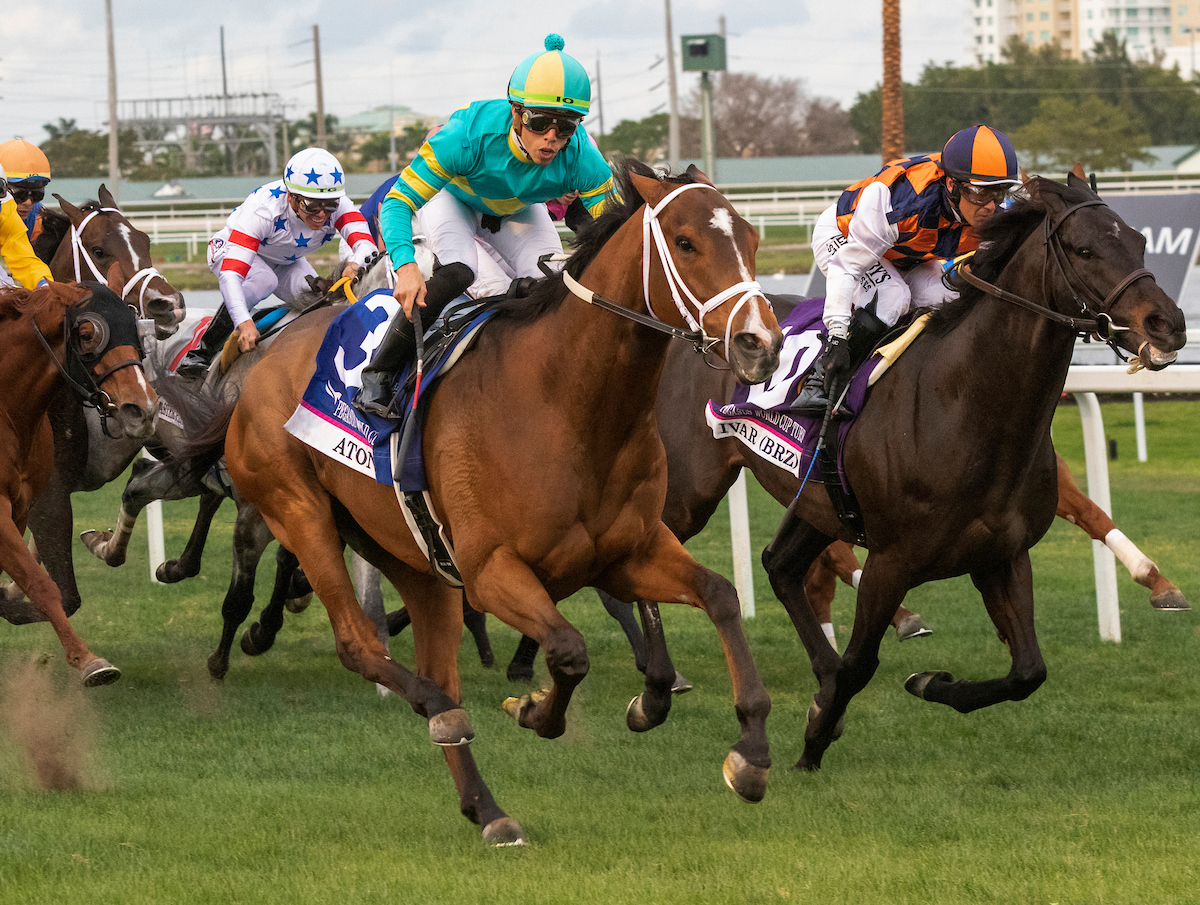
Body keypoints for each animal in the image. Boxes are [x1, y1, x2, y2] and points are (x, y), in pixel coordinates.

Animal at [0, 278, 158, 681]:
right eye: (87, 335)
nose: (143, 409)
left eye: (134, 329)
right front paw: (88, 660)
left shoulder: (25, 505)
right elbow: (43, 584)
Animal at [211, 160, 782, 840]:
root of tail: (264, 356)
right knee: (362, 645)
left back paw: (485, 808)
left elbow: (719, 597)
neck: (569, 405)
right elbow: (568, 650)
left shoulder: (630, 551)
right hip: (299, 512)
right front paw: (533, 708)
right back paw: (434, 709)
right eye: (688, 242)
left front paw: (747, 752)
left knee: (435, 666)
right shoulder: (490, 572)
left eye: (751, 238)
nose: (760, 344)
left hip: (414, 561)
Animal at [753, 169, 1185, 768]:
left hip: (816, 504)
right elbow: (861, 664)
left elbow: (1028, 671)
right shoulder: (891, 561)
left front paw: (929, 684)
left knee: (781, 566)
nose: (1168, 324)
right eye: (1084, 249)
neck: (963, 403)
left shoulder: (1002, 555)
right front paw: (811, 745)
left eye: (1141, 243)